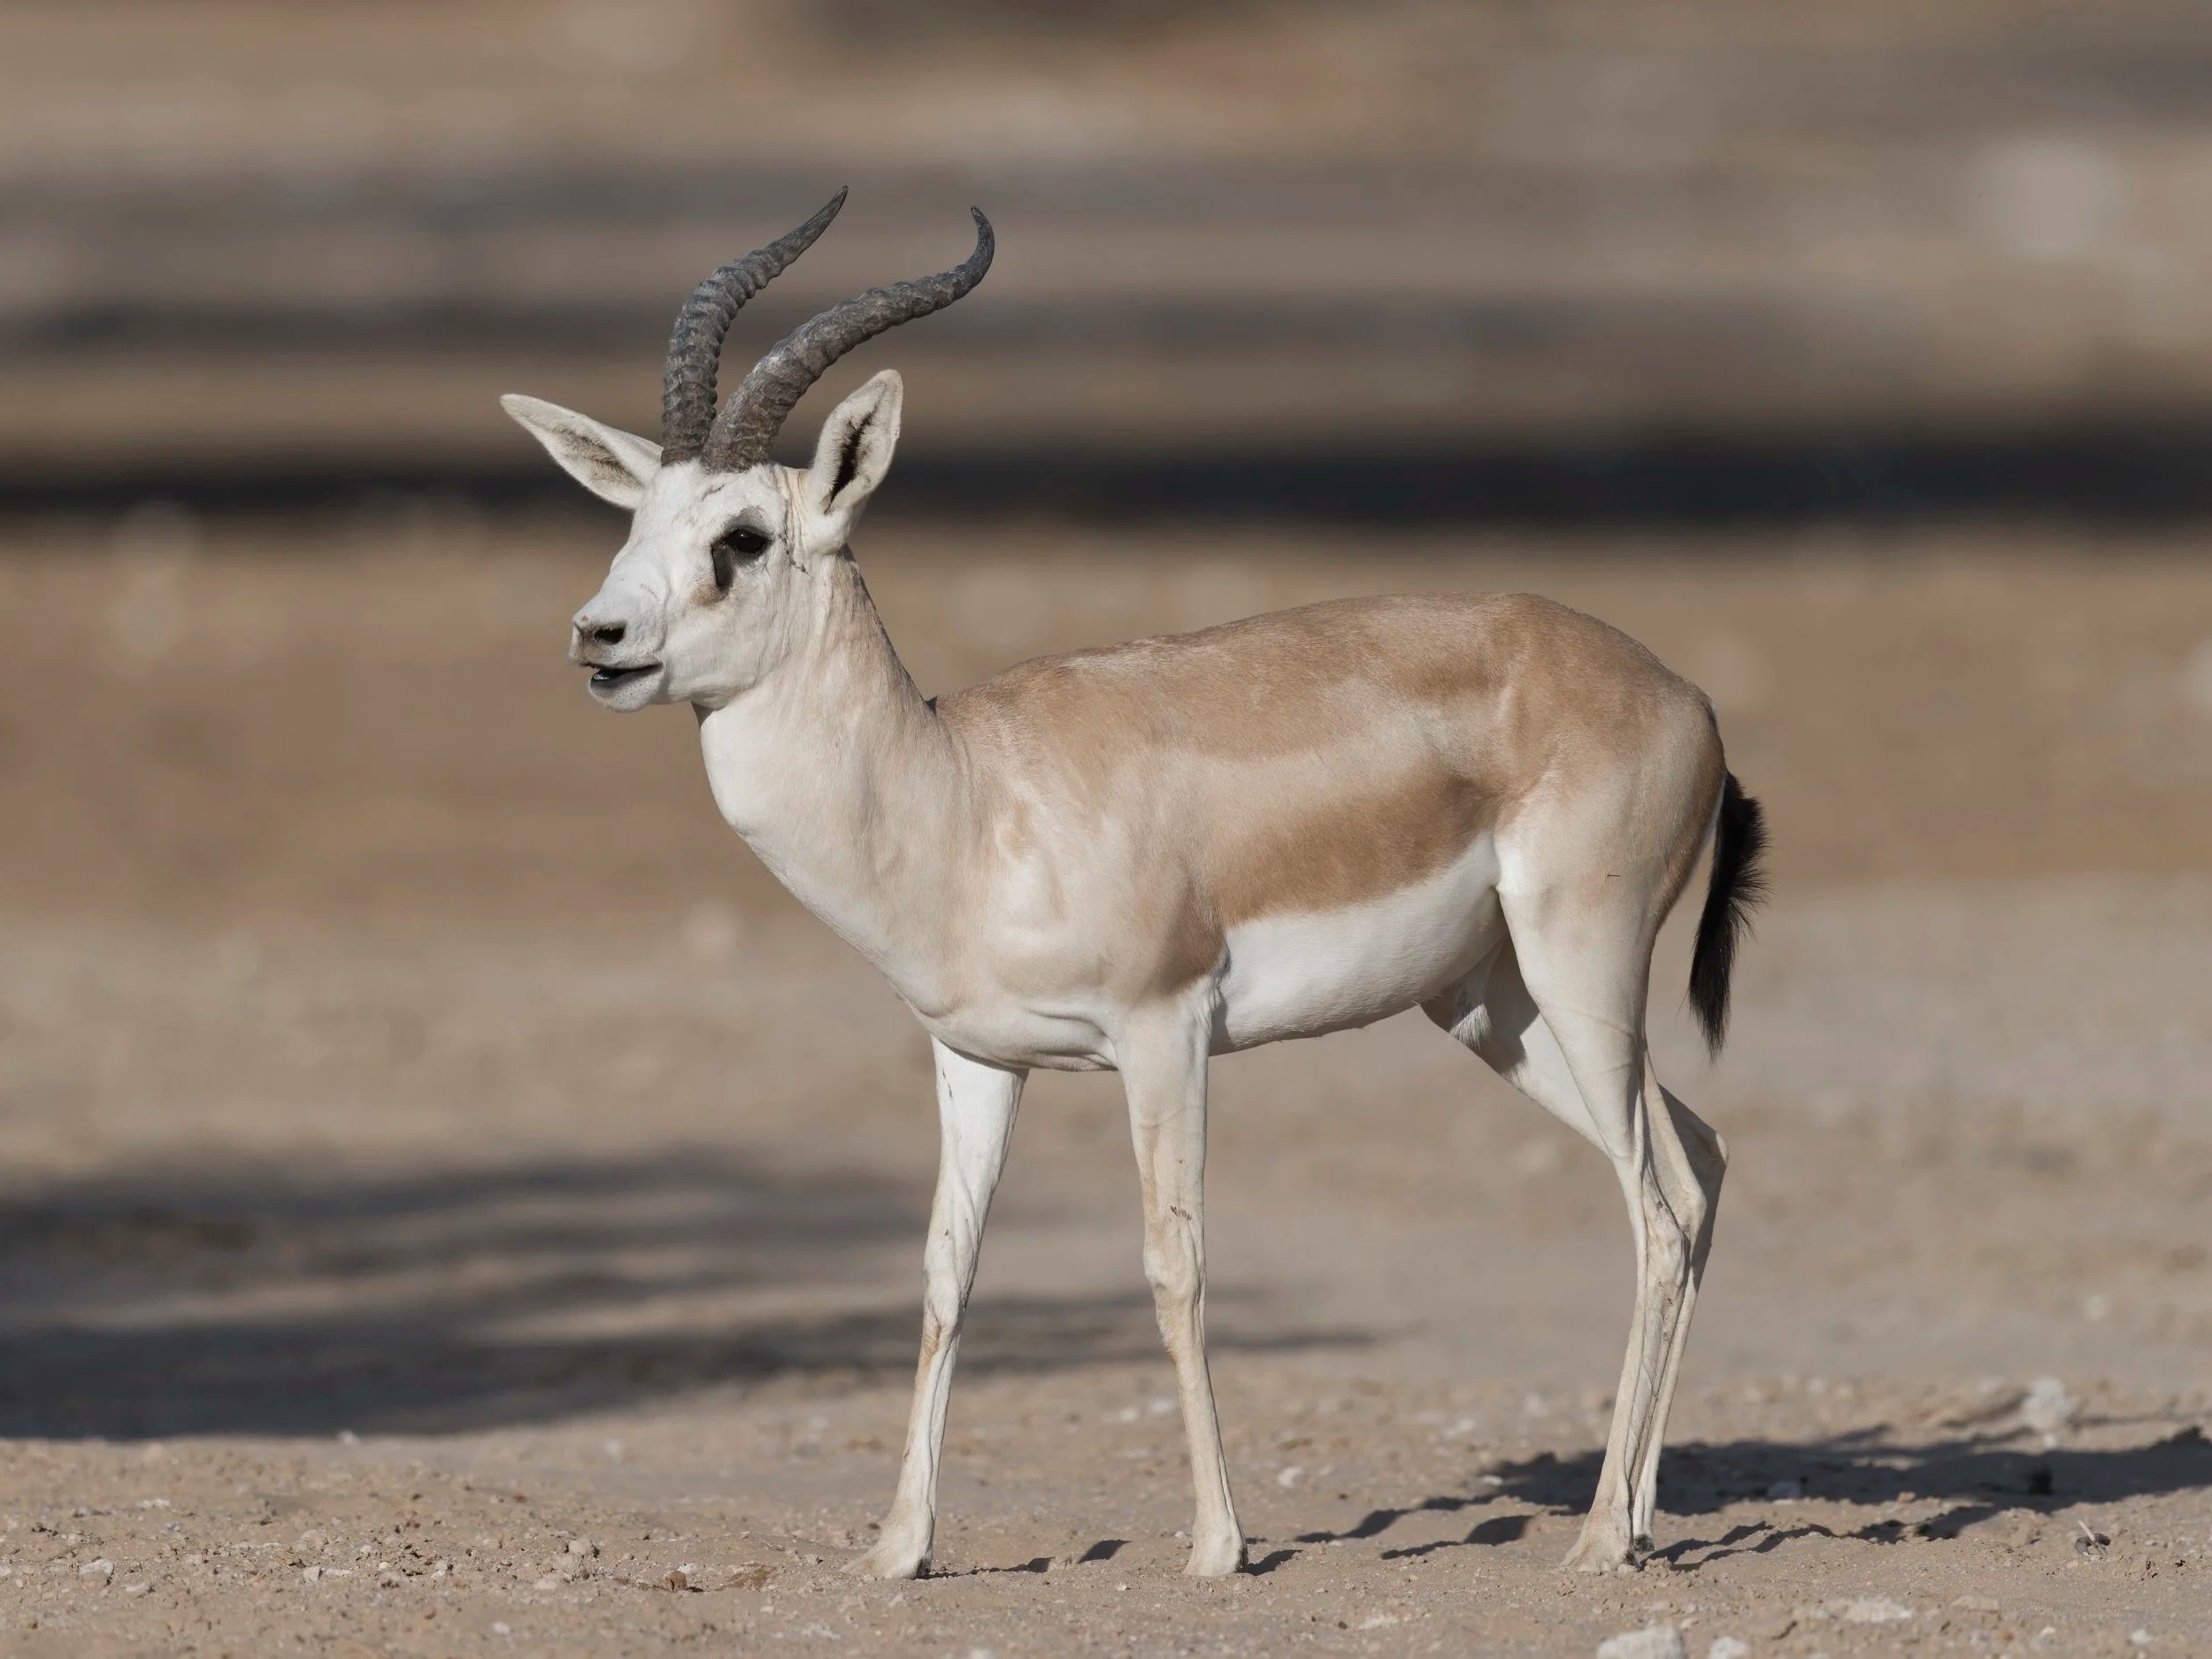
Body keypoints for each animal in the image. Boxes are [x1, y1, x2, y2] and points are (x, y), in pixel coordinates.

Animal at [501, 191, 1768, 1579]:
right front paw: (899, 1547)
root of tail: (1685, 696)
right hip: (1497, 1008)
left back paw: (1595, 1539)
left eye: (742, 538)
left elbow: (1175, 1263)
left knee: (1655, 1210)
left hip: (1579, 972)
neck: (963, 795)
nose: (601, 638)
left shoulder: (1164, 1034)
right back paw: (1637, 1515)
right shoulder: (974, 1057)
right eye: (635, 525)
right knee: (1698, 1167)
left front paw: (1216, 1544)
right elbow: (946, 1268)